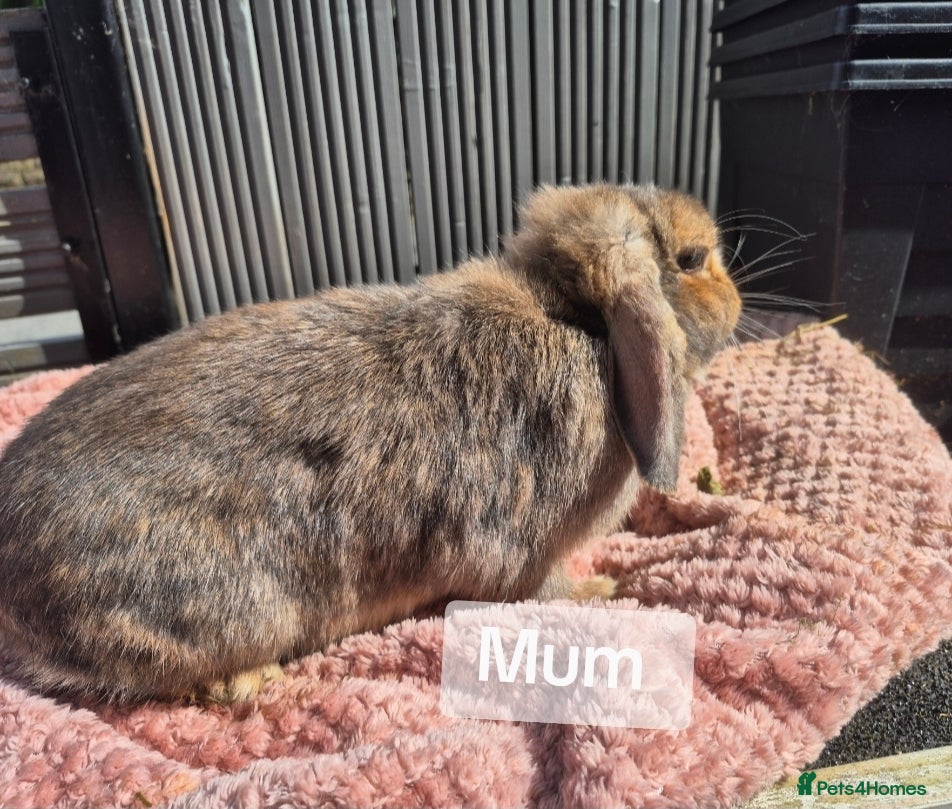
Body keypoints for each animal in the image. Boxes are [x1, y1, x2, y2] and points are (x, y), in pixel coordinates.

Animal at [0, 183, 740, 703]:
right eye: (692, 259)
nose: (736, 302)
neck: (576, 319)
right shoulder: (525, 554)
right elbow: (546, 590)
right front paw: (607, 586)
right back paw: (254, 683)